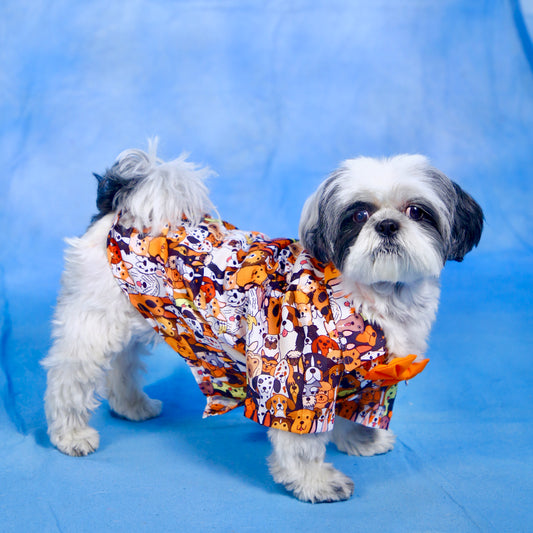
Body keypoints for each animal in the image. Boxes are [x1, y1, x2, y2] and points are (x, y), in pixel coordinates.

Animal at [41, 140, 482, 498]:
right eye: (358, 215)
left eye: (417, 211)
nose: (388, 224)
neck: (371, 296)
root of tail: (122, 208)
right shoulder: (297, 380)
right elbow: (301, 442)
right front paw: (315, 482)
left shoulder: (376, 379)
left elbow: (358, 411)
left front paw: (361, 440)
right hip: (94, 322)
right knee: (69, 378)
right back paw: (71, 434)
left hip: (142, 314)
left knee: (123, 364)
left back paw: (131, 406)